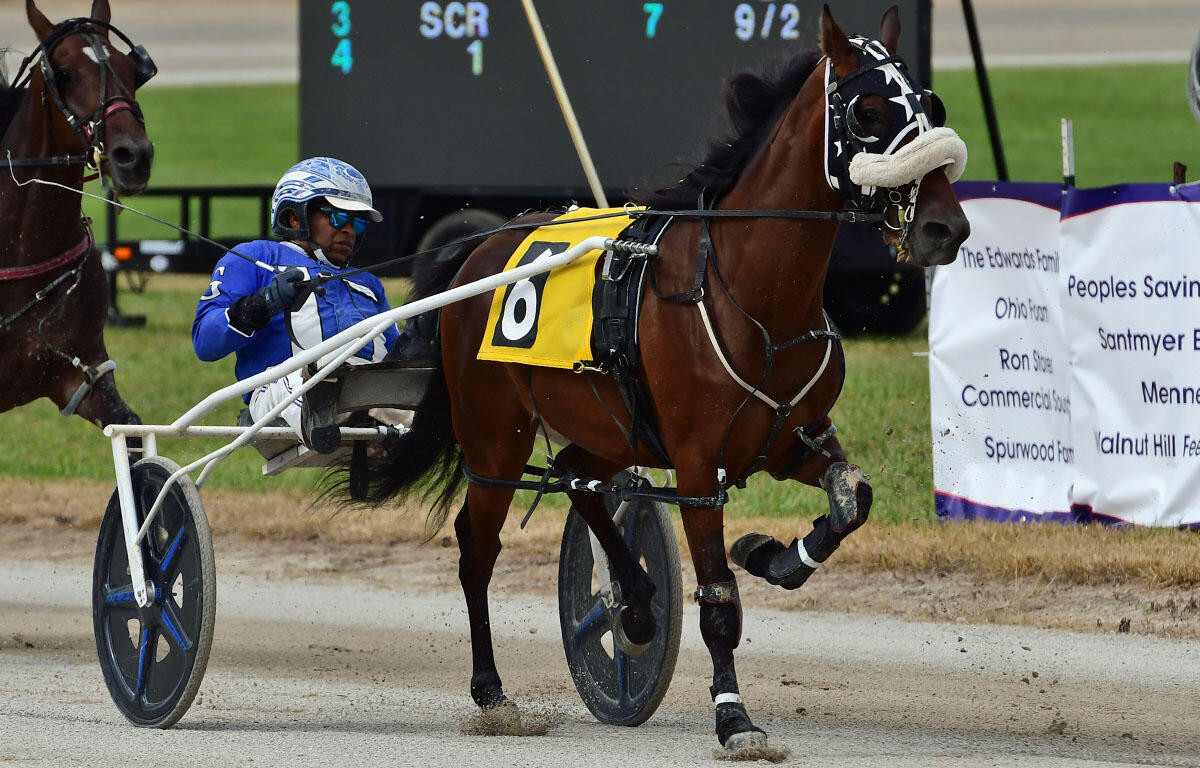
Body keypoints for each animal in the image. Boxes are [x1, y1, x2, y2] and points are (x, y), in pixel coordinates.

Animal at [352, 5, 969, 751]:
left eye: (933, 105)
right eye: (869, 112)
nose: (945, 227)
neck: (754, 293)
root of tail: (479, 251)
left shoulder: (793, 437)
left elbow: (855, 498)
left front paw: (775, 555)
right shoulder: (700, 463)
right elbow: (719, 596)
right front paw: (734, 717)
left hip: (613, 431)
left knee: (580, 480)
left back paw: (639, 604)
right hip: (494, 435)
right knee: (479, 544)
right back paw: (491, 690)